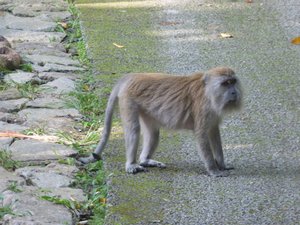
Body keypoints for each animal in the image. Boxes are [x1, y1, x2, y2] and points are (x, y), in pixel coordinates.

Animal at [79, 67, 241, 178]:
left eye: (233, 82)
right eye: (226, 83)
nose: (235, 92)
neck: (208, 92)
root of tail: (132, 76)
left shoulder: (212, 114)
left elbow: (214, 133)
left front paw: (222, 165)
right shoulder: (202, 108)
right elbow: (202, 136)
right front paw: (213, 169)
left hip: (146, 109)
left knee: (153, 133)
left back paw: (145, 160)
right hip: (127, 99)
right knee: (134, 130)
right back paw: (131, 164)